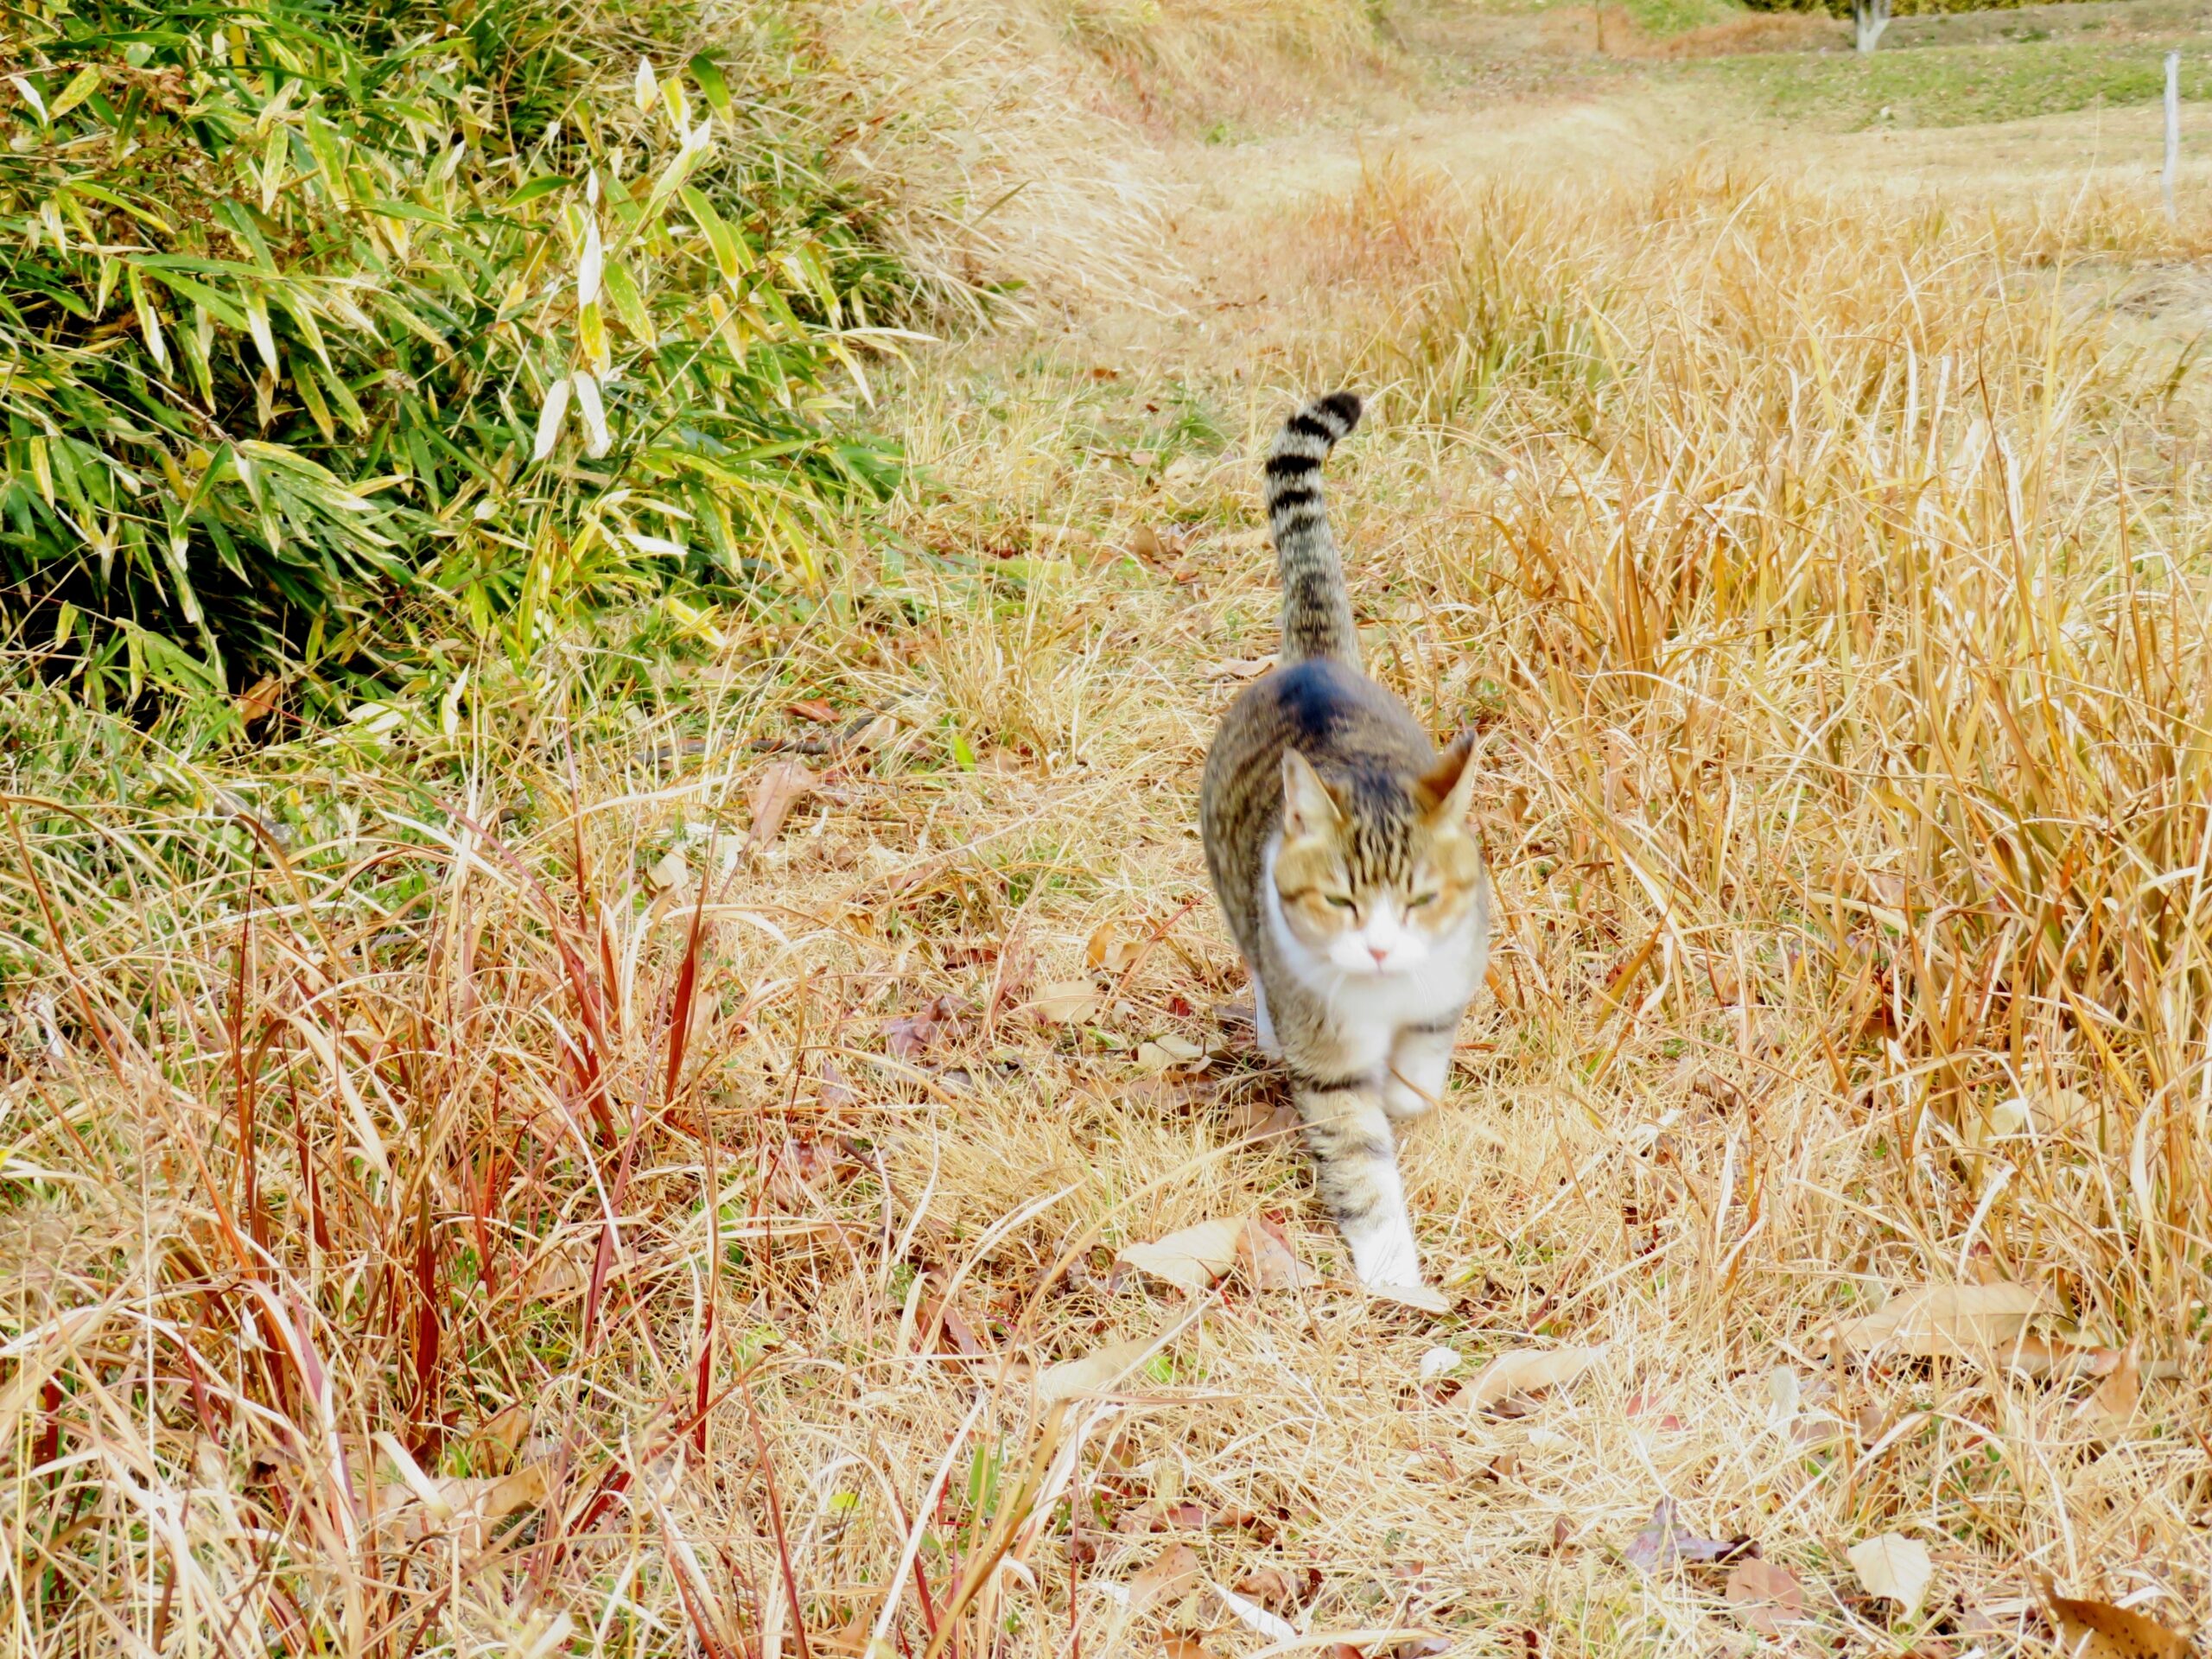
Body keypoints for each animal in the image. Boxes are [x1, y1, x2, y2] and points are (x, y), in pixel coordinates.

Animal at [1203, 393, 1495, 1300]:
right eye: (1338, 900)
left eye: (1422, 898)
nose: (1377, 948)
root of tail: (1316, 662)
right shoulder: (1326, 1064)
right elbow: (1361, 1162)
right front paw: (1394, 1270)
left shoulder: (1447, 983)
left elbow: (1419, 1075)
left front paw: (1408, 1097)